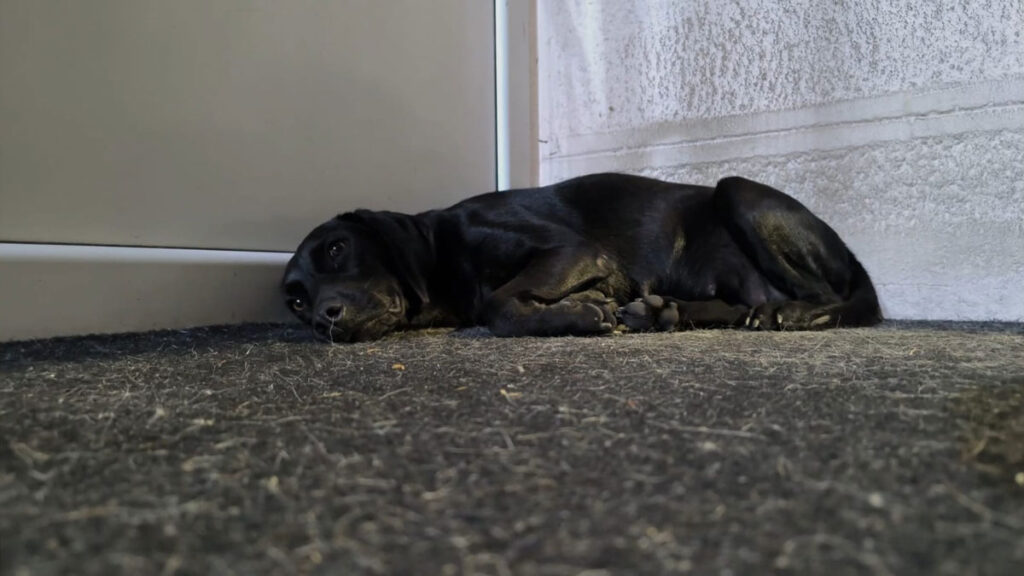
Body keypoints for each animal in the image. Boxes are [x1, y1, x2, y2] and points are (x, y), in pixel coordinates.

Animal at [282, 173, 881, 342]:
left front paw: (580, 313)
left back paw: (794, 315)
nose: (324, 318)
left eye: (336, 248)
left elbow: (499, 305)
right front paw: (589, 305)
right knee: (737, 309)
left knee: (830, 298)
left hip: (736, 192)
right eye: (295, 302)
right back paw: (659, 312)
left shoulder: (571, 250)